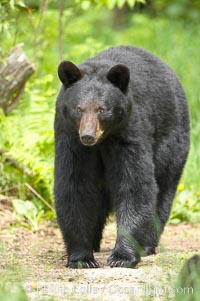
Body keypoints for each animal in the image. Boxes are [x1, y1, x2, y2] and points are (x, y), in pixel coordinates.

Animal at [54, 46, 190, 268]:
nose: (88, 135)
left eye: (101, 109)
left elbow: (134, 185)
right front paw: (82, 258)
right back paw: (94, 242)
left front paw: (122, 256)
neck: (102, 141)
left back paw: (147, 245)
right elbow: (75, 186)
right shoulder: (71, 140)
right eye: (79, 108)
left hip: (171, 140)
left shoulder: (128, 134)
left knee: (163, 188)